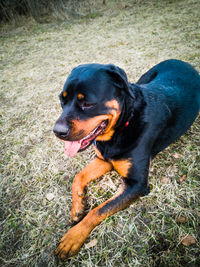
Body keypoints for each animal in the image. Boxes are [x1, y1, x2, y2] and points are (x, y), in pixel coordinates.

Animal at [53, 59, 200, 260]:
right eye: (62, 100)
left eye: (88, 103)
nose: (57, 132)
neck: (124, 124)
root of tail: (183, 63)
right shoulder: (103, 159)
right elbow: (78, 176)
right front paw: (77, 207)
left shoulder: (136, 184)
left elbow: (99, 209)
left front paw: (73, 237)